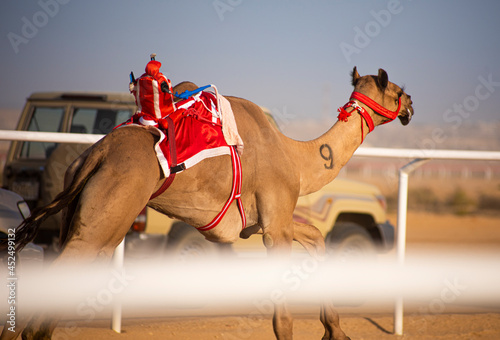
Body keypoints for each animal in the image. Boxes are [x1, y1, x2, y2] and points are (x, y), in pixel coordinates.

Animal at [2, 67, 414, 340]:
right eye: (396, 89)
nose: (411, 104)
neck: (296, 159)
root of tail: (95, 155)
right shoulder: (275, 226)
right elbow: (282, 318)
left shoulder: (269, 221)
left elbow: (316, 236)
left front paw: (336, 330)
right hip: (106, 217)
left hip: (79, 209)